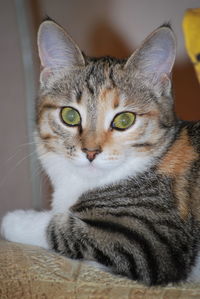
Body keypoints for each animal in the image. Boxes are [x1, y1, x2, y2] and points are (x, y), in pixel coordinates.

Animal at [0, 19, 199, 288]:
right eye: (69, 115)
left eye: (125, 120)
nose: (90, 151)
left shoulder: (152, 238)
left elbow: (63, 229)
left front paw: (14, 220)